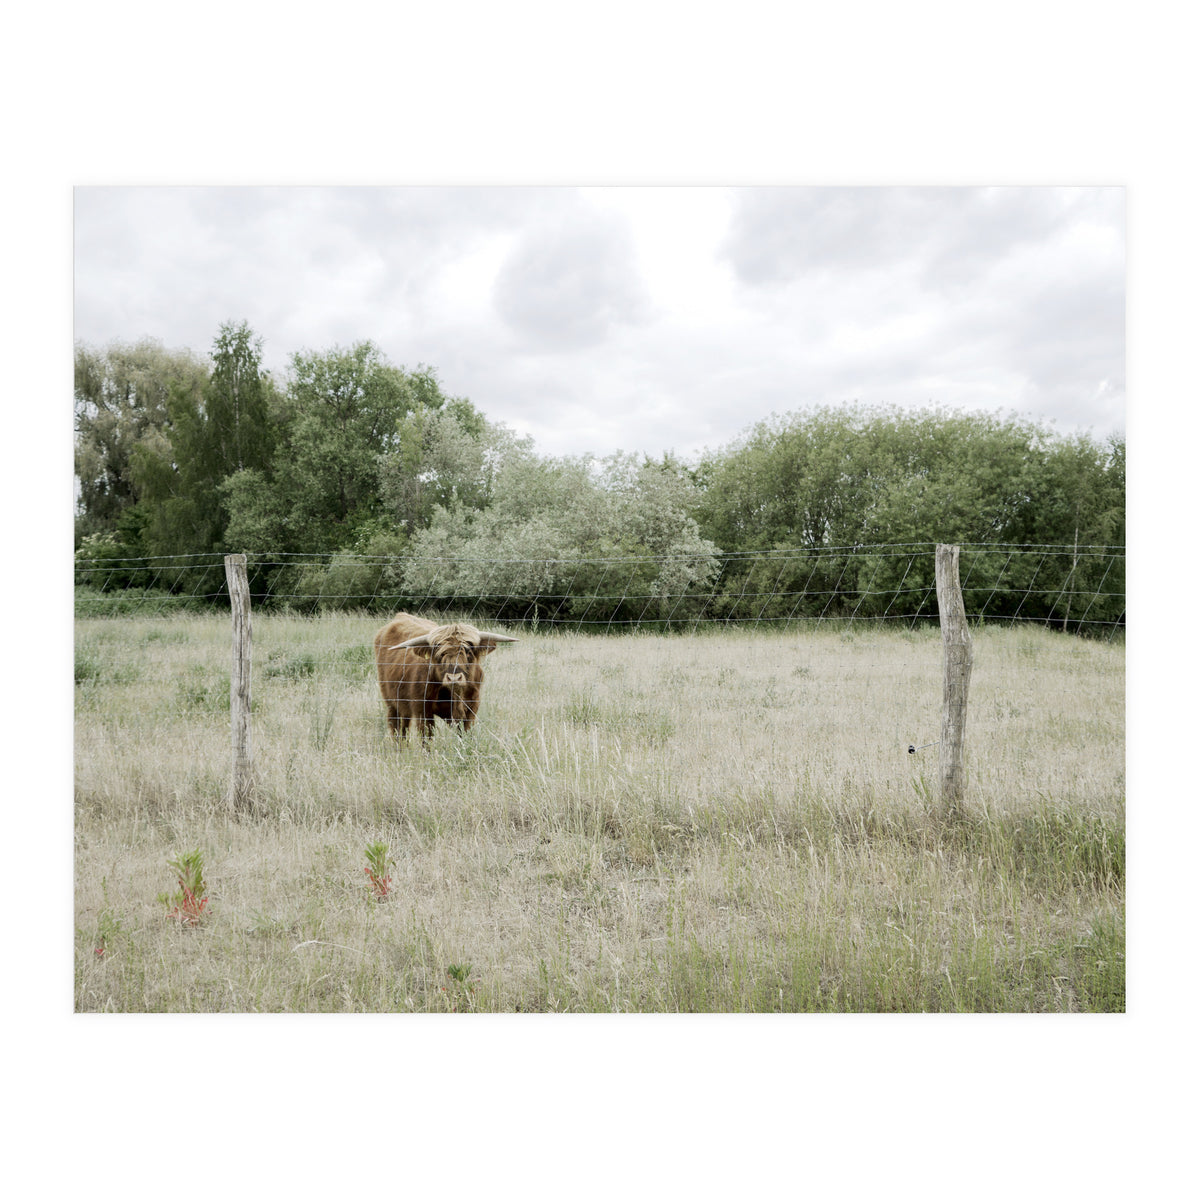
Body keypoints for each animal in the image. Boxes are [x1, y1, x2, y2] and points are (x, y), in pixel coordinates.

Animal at [373, 612, 517, 743]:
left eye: (468, 651)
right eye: (441, 654)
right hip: (391, 702)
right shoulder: (422, 710)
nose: (454, 678)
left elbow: (466, 735)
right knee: (396, 727)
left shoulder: (471, 709)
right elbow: (427, 739)